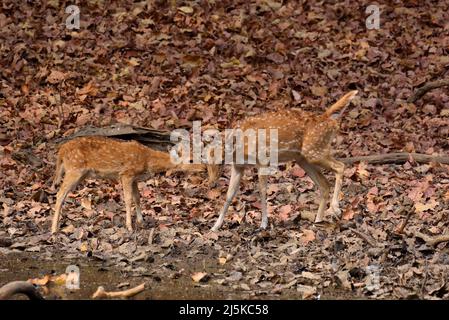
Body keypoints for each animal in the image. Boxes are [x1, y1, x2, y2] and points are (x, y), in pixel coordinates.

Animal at [210, 90, 356, 230]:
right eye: (206, 163)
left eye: (220, 161)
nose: (211, 184)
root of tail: (329, 120)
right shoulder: (238, 166)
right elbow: (229, 194)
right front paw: (216, 226)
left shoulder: (263, 160)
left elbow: (262, 191)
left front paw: (263, 224)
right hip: (303, 158)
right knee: (324, 184)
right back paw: (318, 221)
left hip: (314, 151)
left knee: (340, 166)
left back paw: (335, 208)